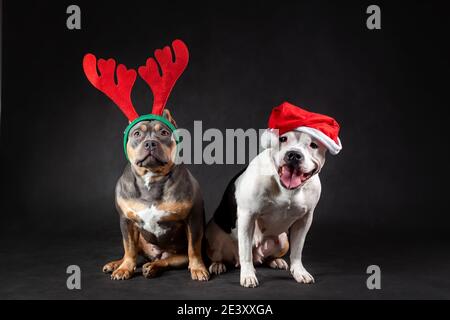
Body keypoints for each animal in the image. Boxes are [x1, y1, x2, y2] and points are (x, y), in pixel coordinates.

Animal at [205, 102, 342, 288]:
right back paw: (218, 265)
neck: (288, 189)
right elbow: (245, 252)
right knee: (228, 254)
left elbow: (297, 250)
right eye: (282, 139)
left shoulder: (305, 219)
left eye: (313, 145)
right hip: (214, 236)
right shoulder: (247, 216)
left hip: (283, 240)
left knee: (268, 256)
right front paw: (248, 275)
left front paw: (299, 271)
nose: (294, 154)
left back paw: (275, 261)